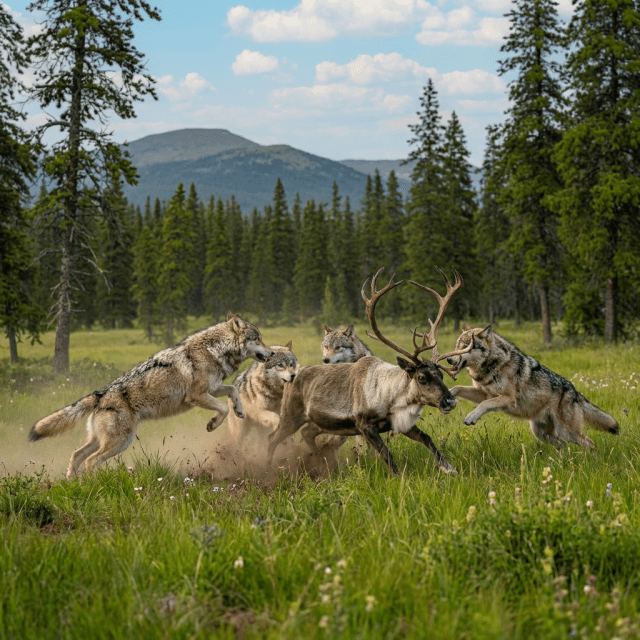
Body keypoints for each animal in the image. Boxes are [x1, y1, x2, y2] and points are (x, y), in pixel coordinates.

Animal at [29, 313, 273, 478]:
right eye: (258, 338)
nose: (271, 353)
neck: (214, 350)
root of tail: (100, 393)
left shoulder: (213, 388)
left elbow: (233, 391)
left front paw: (239, 410)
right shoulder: (197, 396)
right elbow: (222, 409)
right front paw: (212, 424)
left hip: (103, 440)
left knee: (76, 455)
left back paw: (72, 484)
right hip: (119, 442)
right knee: (90, 461)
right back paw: (92, 484)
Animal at [266, 267, 472, 475]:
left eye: (441, 375)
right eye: (422, 377)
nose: (450, 401)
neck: (392, 397)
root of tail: (291, 377)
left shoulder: (401, 423)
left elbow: (428, 439)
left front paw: (449, 468)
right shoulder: (364, 425)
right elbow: (388, 456)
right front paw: (399, 478)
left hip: (319, 422)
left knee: (307, 433)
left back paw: (322, 463)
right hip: (291, 415)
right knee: (272, 438)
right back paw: (267, 470)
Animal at [446, 324, 619, 449]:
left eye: (466, 346)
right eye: (456, 346)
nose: (449, 360)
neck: (492, 365)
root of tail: (576, 392)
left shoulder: (507, 399)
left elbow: (484, 404)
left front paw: (471, 417)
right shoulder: (483, 392)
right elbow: (458, 388)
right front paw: (447, 399)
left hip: (567, 433)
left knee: (590, 443)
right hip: (542, 434)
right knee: (563, 446)